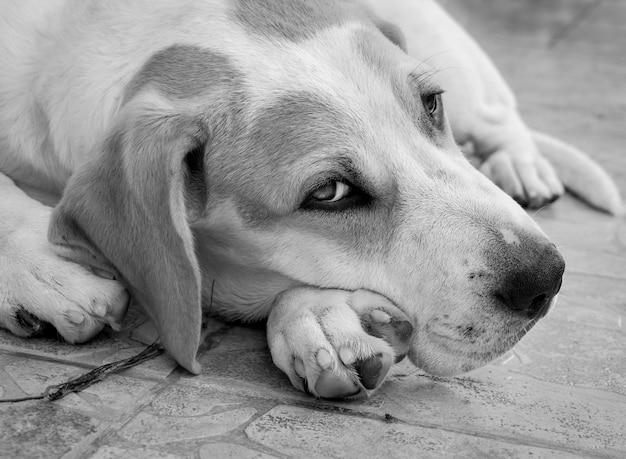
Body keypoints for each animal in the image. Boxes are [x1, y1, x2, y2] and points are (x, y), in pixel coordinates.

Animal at [0, 0, 620, 398]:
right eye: (329, 193)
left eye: (432, 103)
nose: (547, 278)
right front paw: (41, 268)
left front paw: (317, 316)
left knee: (501, 117)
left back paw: (522, 164)